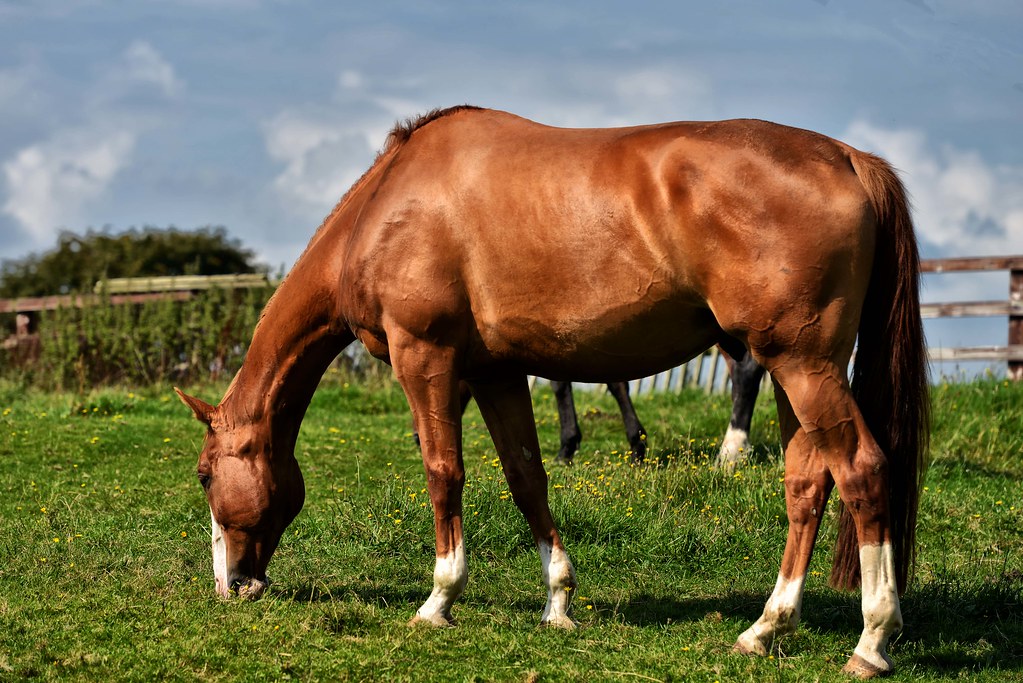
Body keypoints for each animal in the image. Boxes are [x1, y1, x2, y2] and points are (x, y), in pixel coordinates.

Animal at [175, 106, 928, 678]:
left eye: (206, 473)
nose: (230, 586)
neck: (386, 207)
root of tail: (847, 157)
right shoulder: (496, 371)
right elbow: (525, 477)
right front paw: (558, 600)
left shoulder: (426, 357)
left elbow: (443, 472)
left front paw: (438, 600)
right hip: (790, 369)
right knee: (807, 483)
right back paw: (765, 627)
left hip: (802, 364)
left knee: (861, 472)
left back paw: (870, 640)